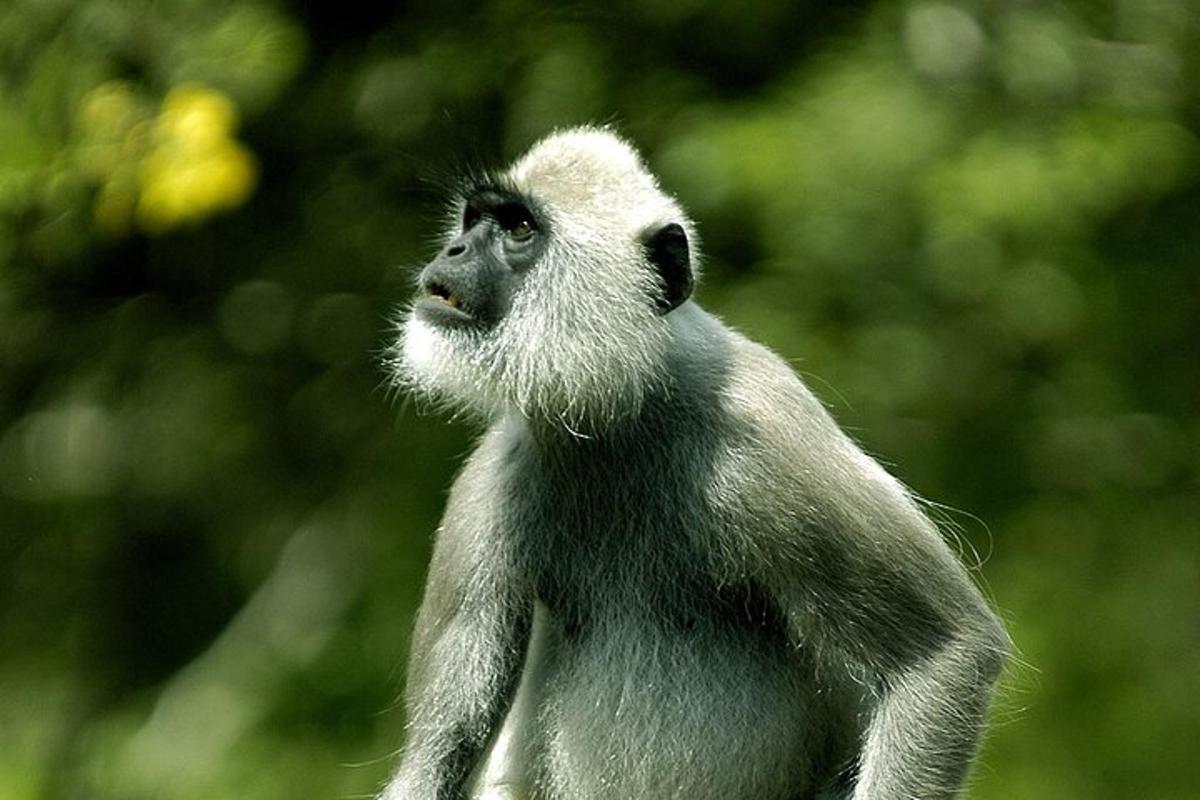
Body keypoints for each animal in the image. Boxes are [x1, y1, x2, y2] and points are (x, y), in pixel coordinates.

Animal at [381, 126, 1003, 800]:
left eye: (518, 227)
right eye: (474, 220)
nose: (454, 248)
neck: (621, 412)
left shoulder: (769, 439)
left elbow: (944, 656)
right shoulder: (497, 474)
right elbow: (441, 754)